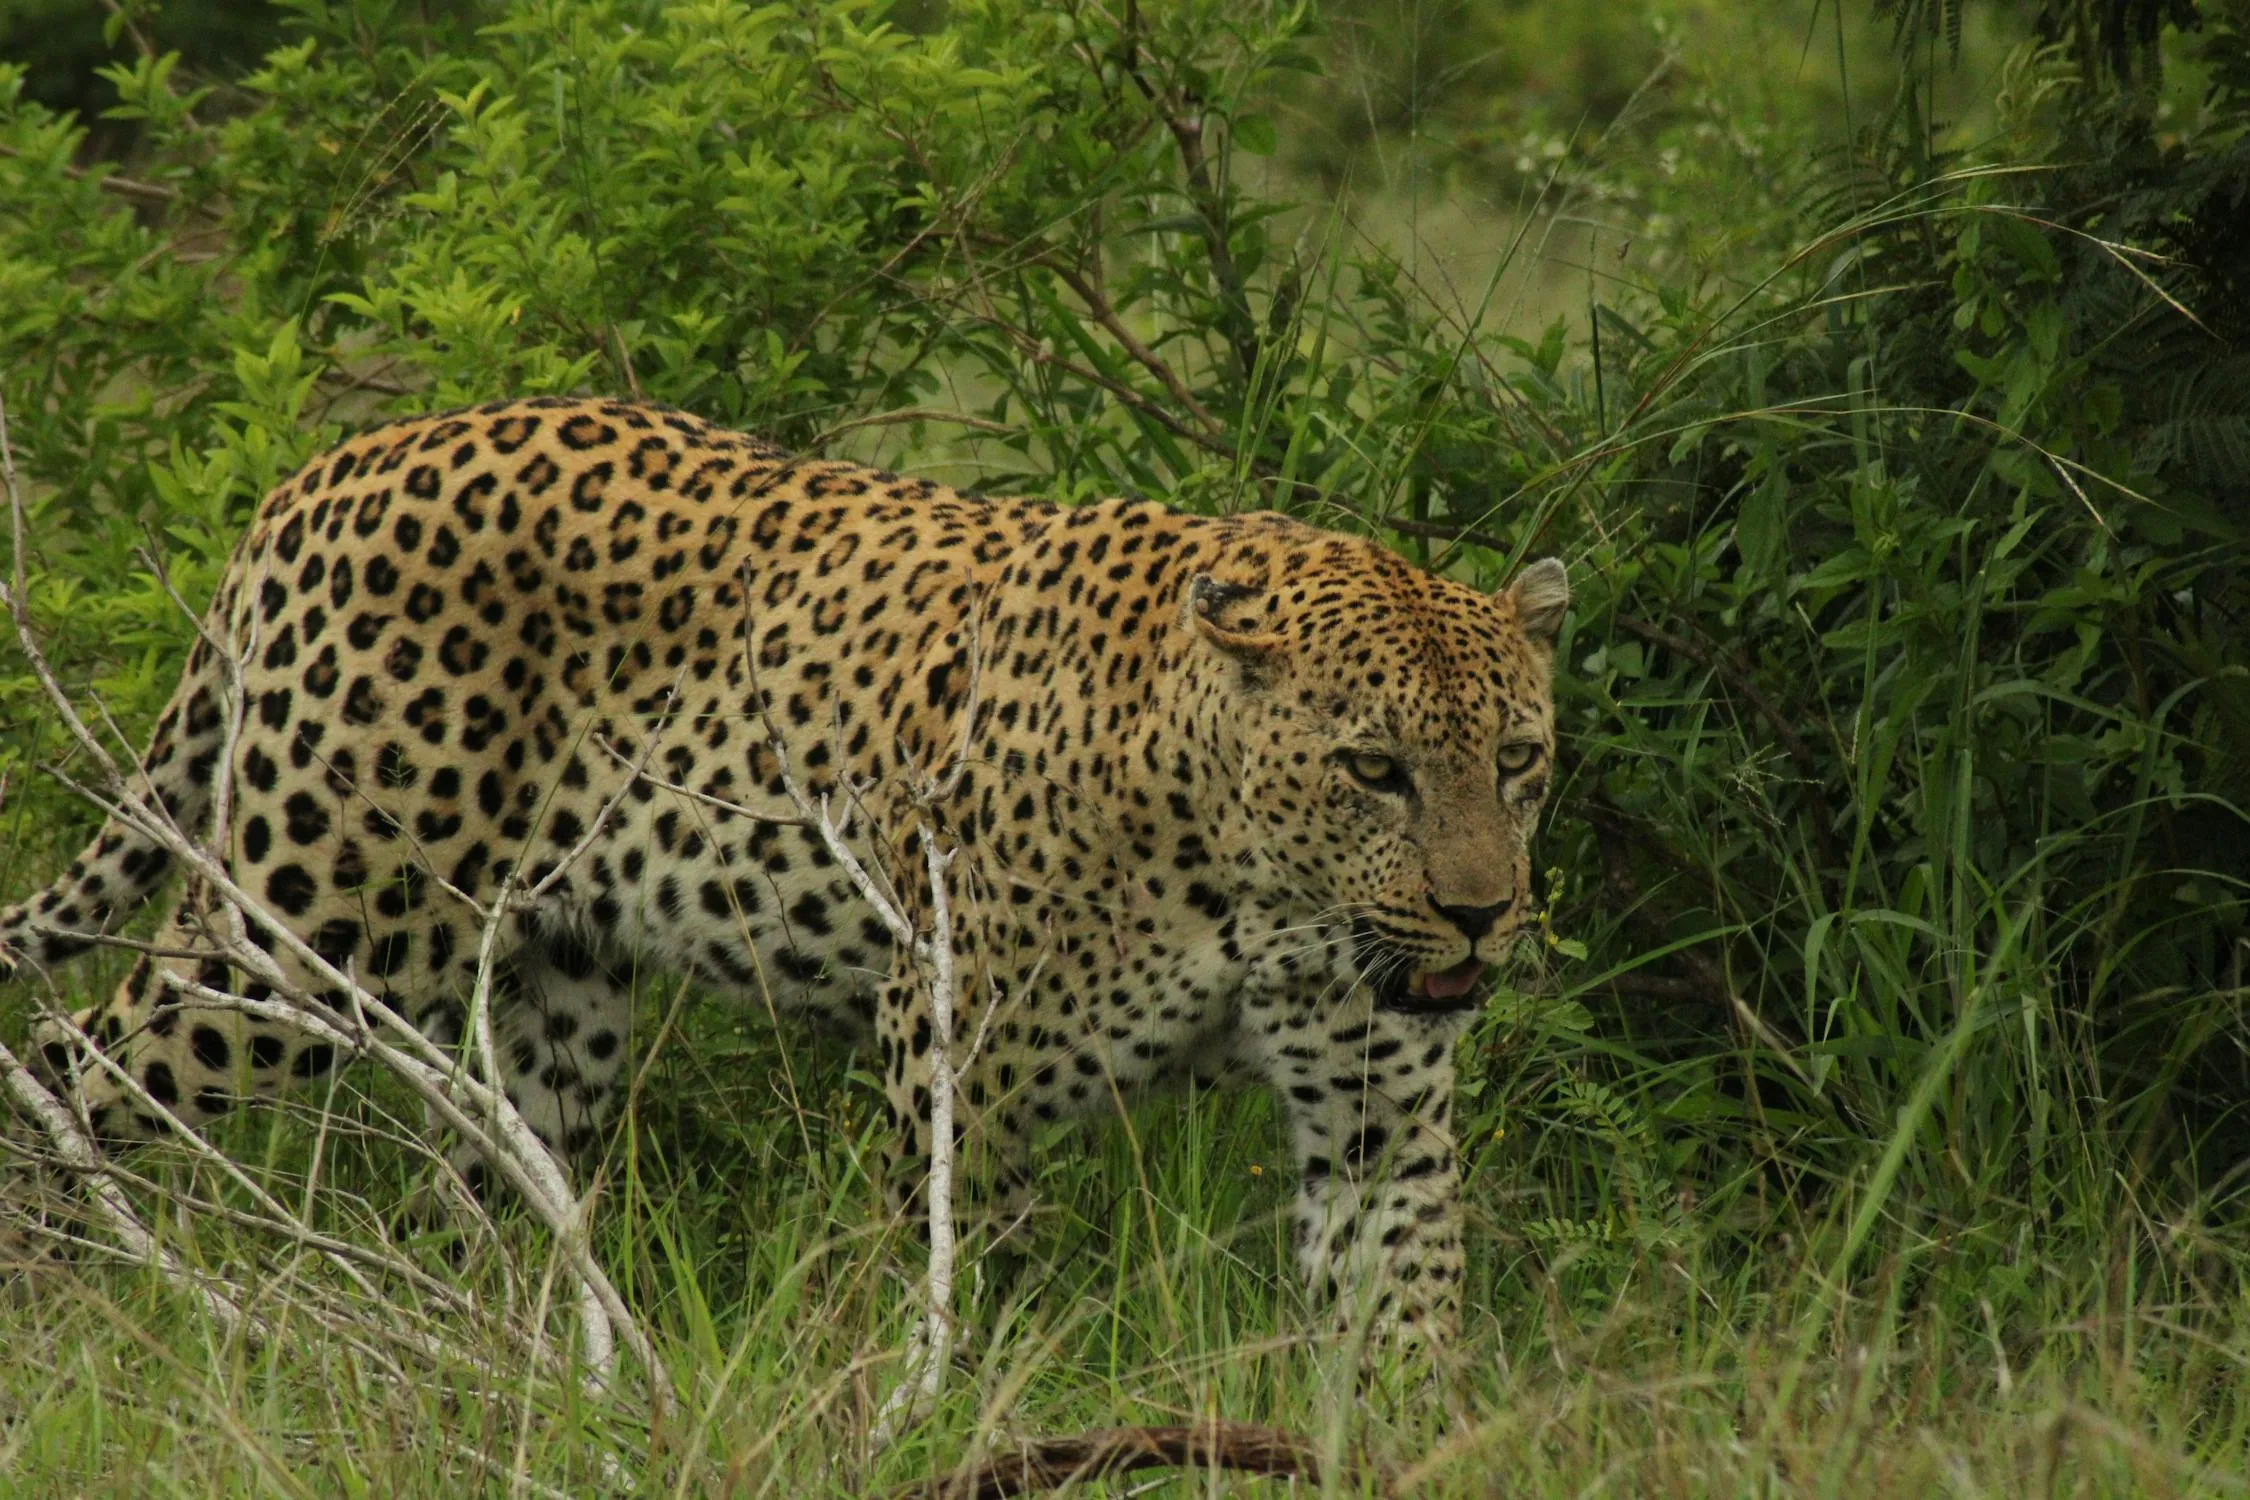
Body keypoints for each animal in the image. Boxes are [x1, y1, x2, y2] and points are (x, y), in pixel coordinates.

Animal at [0, 396, 1569, 1347]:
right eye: (1373, 769)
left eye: (1520, 761)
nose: (1481, 915)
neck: (1258, 887)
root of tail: (323, 467)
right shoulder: (954, 1059)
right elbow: (961, 1282)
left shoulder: (1378, 1114)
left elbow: (1399, 1319)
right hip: (311, 931)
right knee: (73, 1058)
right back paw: (57, 1317)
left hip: (555, 1002)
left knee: (483, 1195)